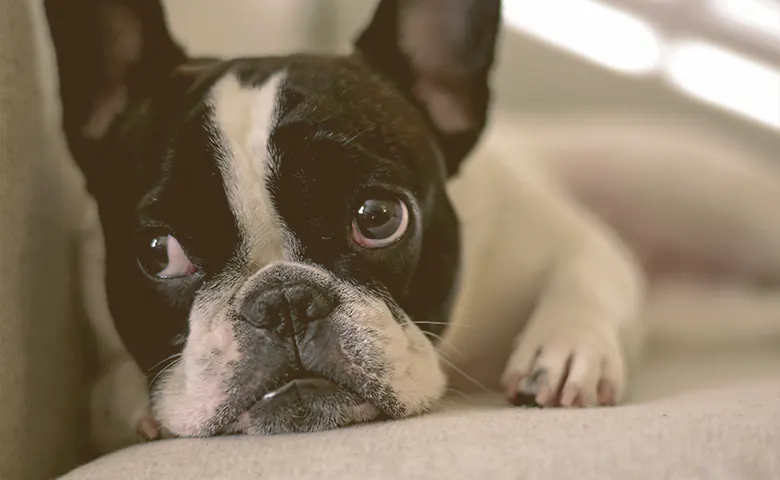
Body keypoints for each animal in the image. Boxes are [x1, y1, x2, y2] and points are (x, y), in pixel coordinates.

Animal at [45, 0, 780, 454]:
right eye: (157, 252)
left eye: (378, 218)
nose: (284, 301)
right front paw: (135, 401)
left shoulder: (562, 236)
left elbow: (590, 269)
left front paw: (568, 350)